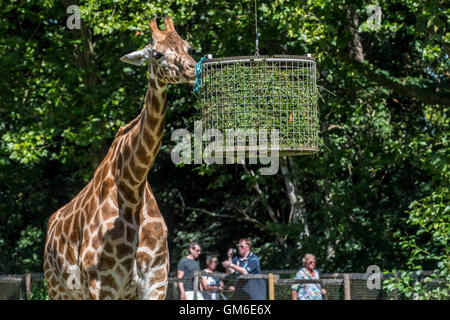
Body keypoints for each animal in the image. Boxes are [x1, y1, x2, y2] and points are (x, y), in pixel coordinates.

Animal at [44, 16, 197, 298]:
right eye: (156, 54)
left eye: (188, 47)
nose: (194, 71)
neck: (132, 187)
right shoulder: (102, 284)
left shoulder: (156, 280)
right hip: (58, 289)